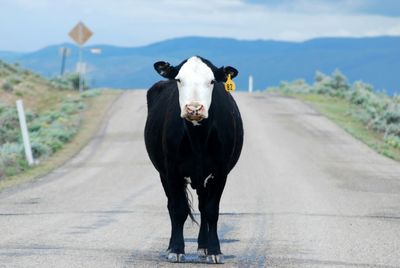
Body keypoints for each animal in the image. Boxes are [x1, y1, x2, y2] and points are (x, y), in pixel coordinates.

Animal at [145, 56, 244, 264]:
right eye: (179, 80)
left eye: (212, 81)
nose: (194, 108)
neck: (198, 137)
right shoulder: (172, 171)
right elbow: (178, 209)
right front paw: (176, 249)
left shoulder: (220, 172)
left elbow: (212, 211)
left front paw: (214, 251)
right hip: (163, 174)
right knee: (172, 206)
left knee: (203, 208)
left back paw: (203, 246)